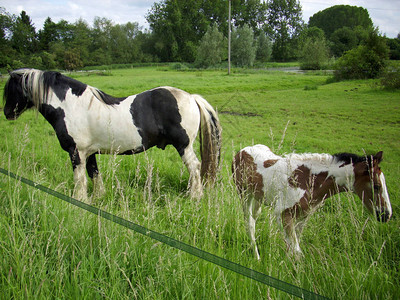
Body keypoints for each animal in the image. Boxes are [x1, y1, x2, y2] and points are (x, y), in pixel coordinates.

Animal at [3, 69, 222, 200]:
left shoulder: (76, 152)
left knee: (194, 168)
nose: (6, 113)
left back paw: (194, 196)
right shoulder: (89, 152)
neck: (70, 106)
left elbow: (79, 179)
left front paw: (80, 199)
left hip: (183, 146)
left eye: (12, 90)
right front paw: (99, 196)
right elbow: (93, 173)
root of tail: (191, 97)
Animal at [233, 144, 392, 258]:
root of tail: (242, 151)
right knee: (250, 223)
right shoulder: (282, 214)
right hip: (244, 195)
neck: (308, 181)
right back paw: (257, 256)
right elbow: (297, 251)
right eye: (376, 186)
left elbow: (293, 247)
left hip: (258, 198)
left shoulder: (303, 216)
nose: (386, 215)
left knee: (254, 219)